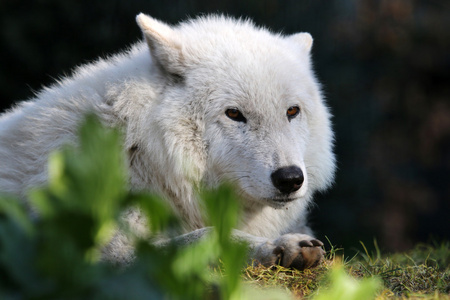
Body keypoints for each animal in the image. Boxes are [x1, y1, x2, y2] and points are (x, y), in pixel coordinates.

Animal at [0, 13, 334, 270]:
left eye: (292, 111)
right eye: (234, 114)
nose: (290, 179)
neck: (143, 155)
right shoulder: (101, 256)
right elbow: (207, 236)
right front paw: (271, 247)